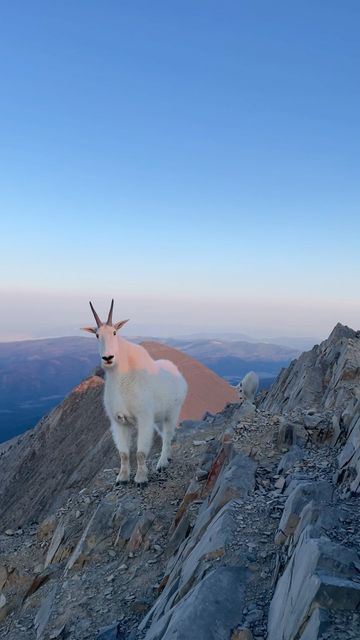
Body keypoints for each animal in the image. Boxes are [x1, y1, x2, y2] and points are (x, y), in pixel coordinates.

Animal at [82, 300, 188, 484]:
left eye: (115, 332)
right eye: (96, 335)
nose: (108, 358)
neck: (122, 380)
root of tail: (177, 373)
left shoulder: (144, 418)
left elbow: (140, 452)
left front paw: (140, 479)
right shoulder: (119, 422)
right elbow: (124, 453)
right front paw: (122, 478)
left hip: (172, 412)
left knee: (168, 436)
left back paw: (162, 463)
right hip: (158, 419)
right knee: (164, 436)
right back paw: (167, 458)